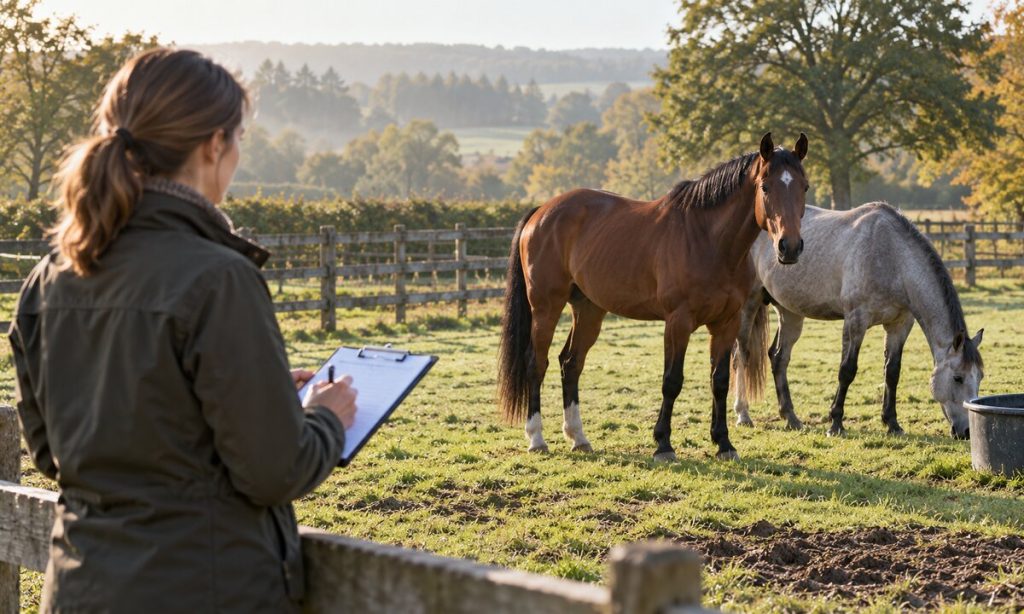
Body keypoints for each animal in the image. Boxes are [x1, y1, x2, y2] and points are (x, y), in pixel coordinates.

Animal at [497, 132, 810, 461]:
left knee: (571, 363)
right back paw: (536, 438)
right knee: (537, 363)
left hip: (589, 309)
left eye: (804, 186)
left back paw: (578, 437)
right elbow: (672, 381)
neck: (708, 241)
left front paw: (724, 443)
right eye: (765, 187)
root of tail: (542, 211)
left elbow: (720, 381)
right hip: (546, 307)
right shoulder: (678, 322)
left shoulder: (727, 323)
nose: (789, 247)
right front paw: (663, 444)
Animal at [732, 202, 984, 440]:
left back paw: (791, 418)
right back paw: (743, 414)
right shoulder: (855, 321)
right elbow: (847, 370)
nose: (967, 432)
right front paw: (835, 424)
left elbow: (892, 372)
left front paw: (892, 424)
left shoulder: (899, 325)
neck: (892, 257)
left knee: (778, 358)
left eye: (980, 376)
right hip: (749, 305)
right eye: (958, 378)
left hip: (790, 312)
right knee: (741, 354)